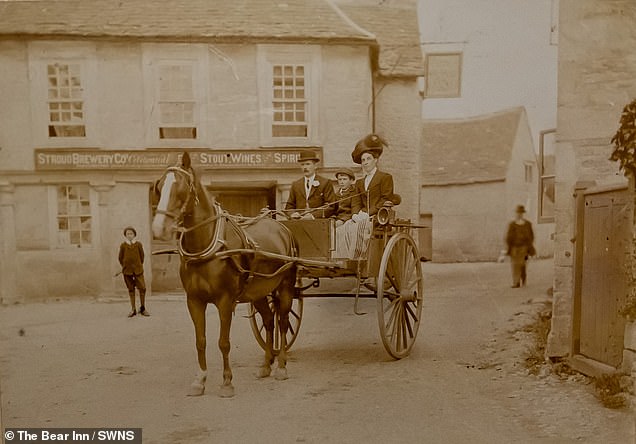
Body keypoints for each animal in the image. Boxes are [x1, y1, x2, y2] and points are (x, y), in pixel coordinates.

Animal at [152, 152, 298, 396]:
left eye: (181, 188)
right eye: (159, 187)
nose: (157, 229)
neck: (208, 249)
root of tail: (282, 227)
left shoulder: (225, 301)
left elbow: (223, 342)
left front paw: (227, 382)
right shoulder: (194, 301)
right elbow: (200, 340)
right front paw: (200, 380)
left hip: (285, 286)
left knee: (283, 321)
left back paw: (281, 366)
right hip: (259, 292)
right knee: (269, 321)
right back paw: (266, 365)